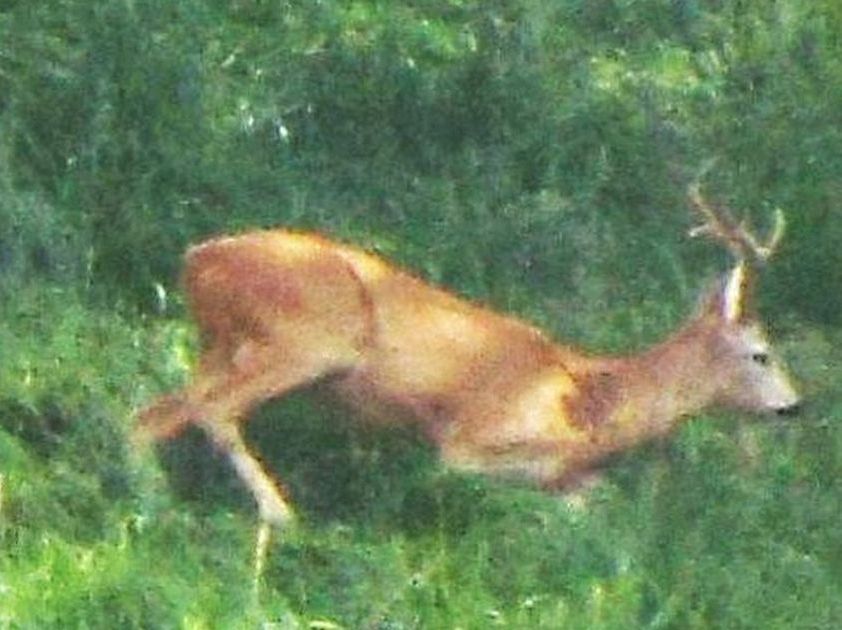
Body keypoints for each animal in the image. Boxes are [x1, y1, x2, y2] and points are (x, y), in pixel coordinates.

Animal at [135, 169, 796, 540]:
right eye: (761, 353)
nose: (795, 406)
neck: (592, 400)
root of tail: (195, 259)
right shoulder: (469, 439)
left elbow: (592, 499)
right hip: (306, 338)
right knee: (207, 412)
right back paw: (277, 516)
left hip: (227, 345)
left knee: (149, 413)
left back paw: (152, 501)